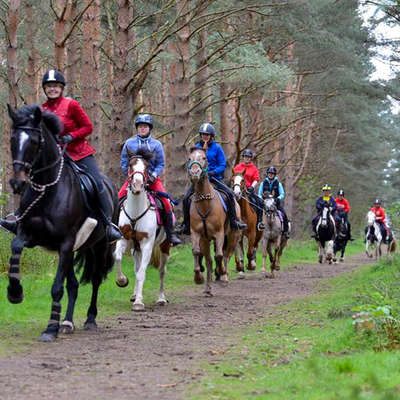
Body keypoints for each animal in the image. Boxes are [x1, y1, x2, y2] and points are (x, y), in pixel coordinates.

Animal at [6, 104, 117, 342]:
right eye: (12, 139)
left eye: (34, 141)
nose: (17, 182)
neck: (47, 188)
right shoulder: (30, 235)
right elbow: (15, 247)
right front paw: (14, 292)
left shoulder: (66, 242)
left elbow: (57, 287)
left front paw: (50, 328)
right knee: (73, 284)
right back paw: (67, 322)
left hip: (99, 246)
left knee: (95, 279)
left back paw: (90, 318)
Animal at [113, 148, 170, 310]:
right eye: (131, 165)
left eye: (146, 166)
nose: (137, 185)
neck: (135, 212)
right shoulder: (124, 239)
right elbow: (117, 257)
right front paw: (122, 281)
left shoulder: (147, 245)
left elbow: (142, 273)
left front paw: (139, 302)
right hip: (135, 247)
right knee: (136, 267)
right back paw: (134, 294)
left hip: (164, 245)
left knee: (162, 271)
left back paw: (161, 298)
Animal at [186, 148, 239, 296]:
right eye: (189, 158)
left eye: (204, 158)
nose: (195, 172)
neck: (204, 202)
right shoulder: (196, 233)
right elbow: (196, 252)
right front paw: (198, 278)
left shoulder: (219, 233)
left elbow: (220, 255)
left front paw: (221, 273)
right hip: (205, 240)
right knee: (209, 260)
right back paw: (208, 288)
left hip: (232, 236)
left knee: (226, 255)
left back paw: (224, 277)